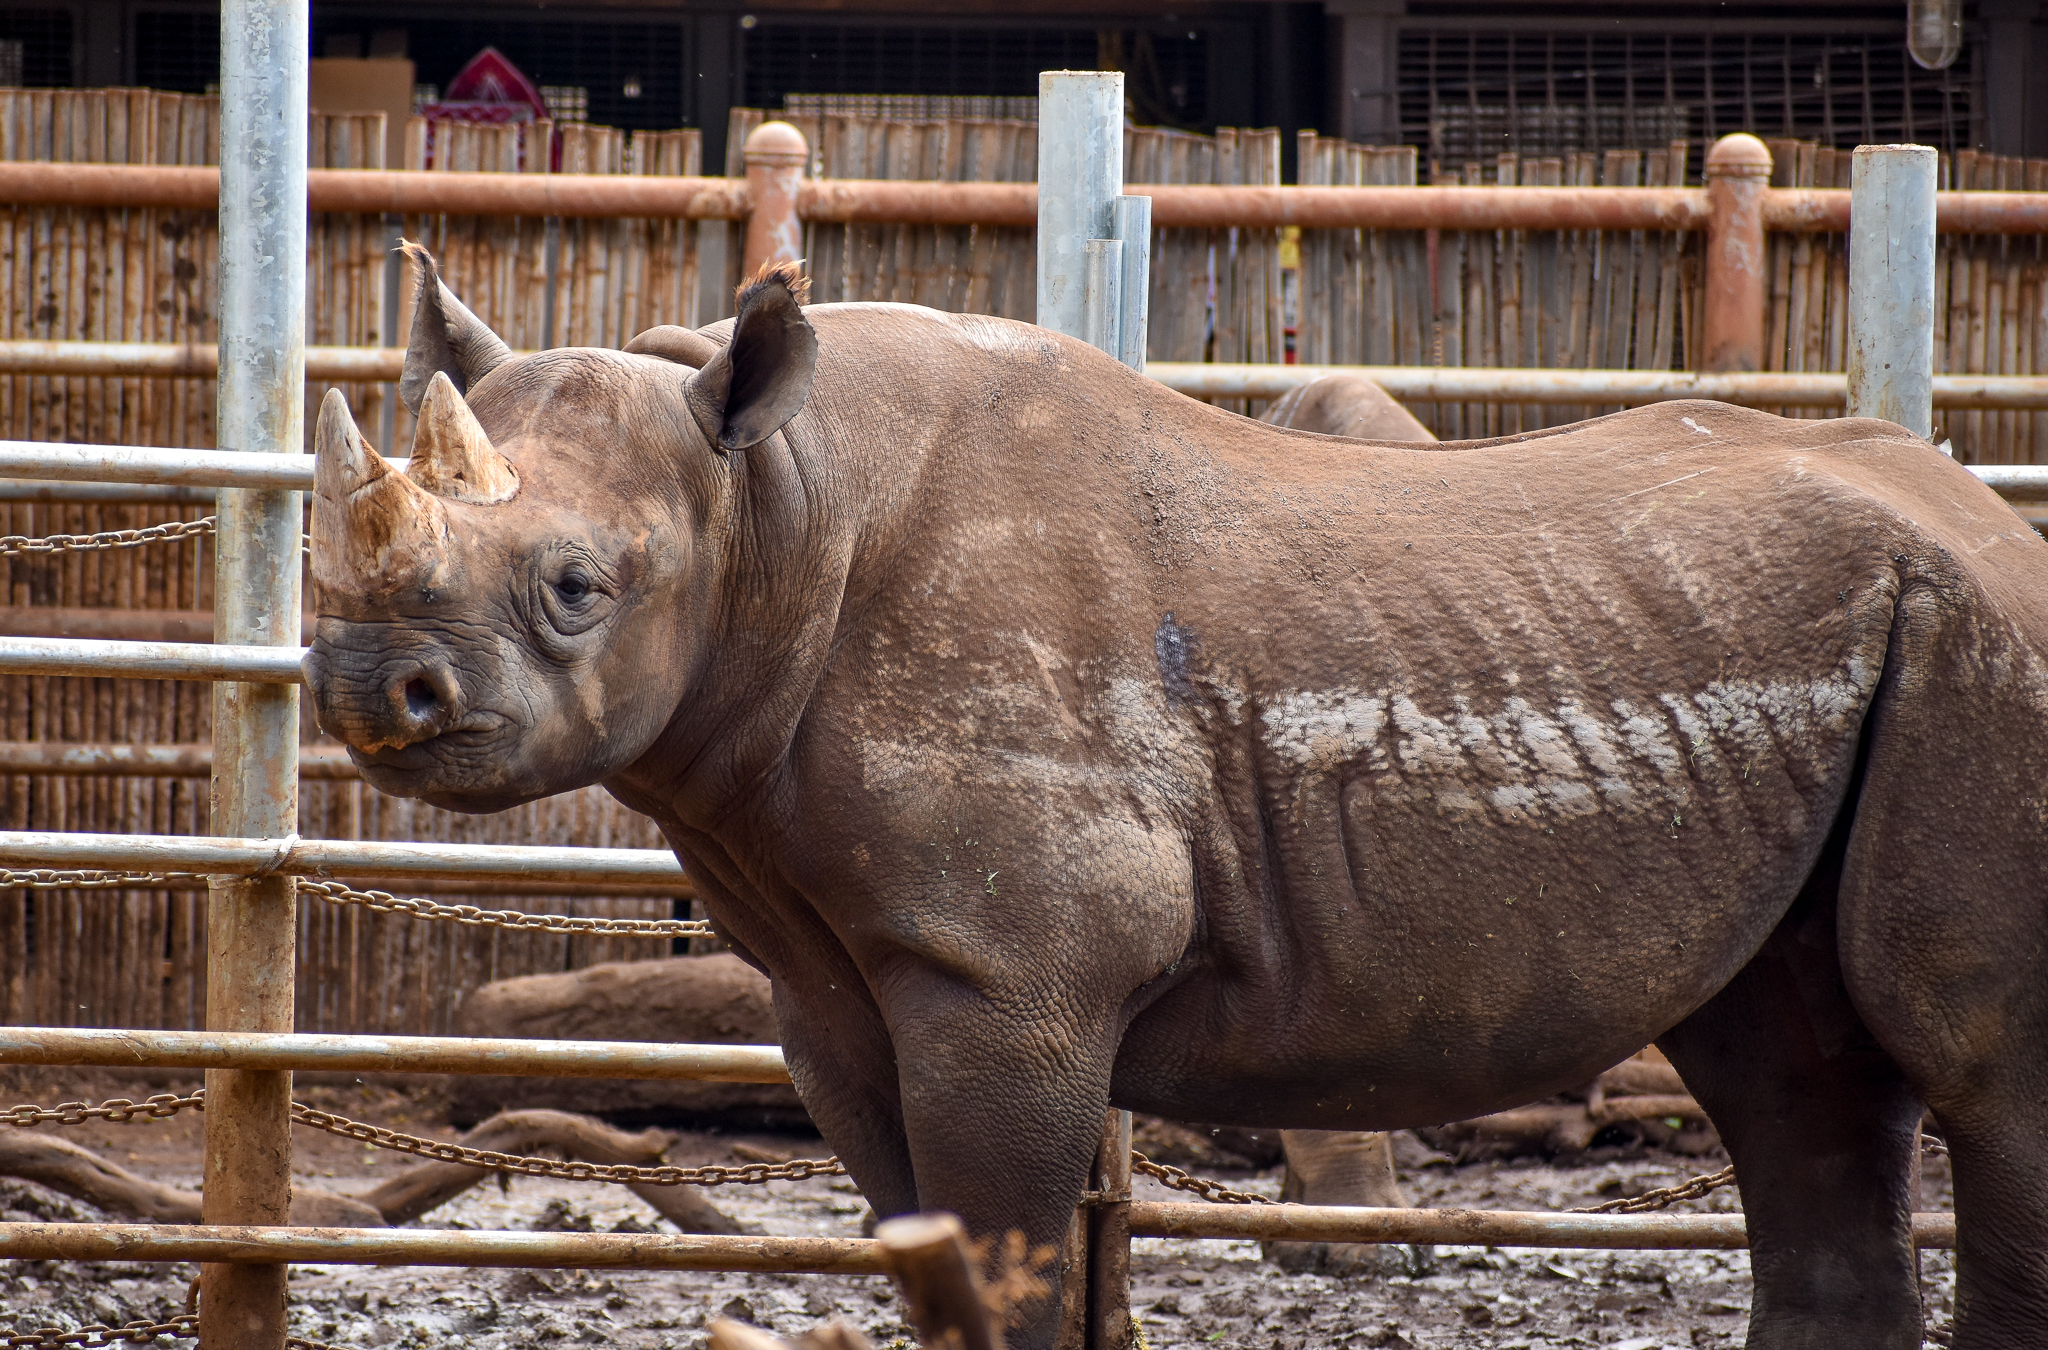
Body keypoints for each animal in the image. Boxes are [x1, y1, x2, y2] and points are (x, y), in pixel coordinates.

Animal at [307, 250, 2048, 1350]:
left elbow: (1009, 1277)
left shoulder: (1009, 976)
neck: (773, 505)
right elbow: (961, 1258)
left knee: (1979, 1067)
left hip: (1993, 651)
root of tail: (1995, 519)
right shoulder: (862, 986)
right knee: (1792, 1063)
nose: (363, 684)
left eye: (577, 590)